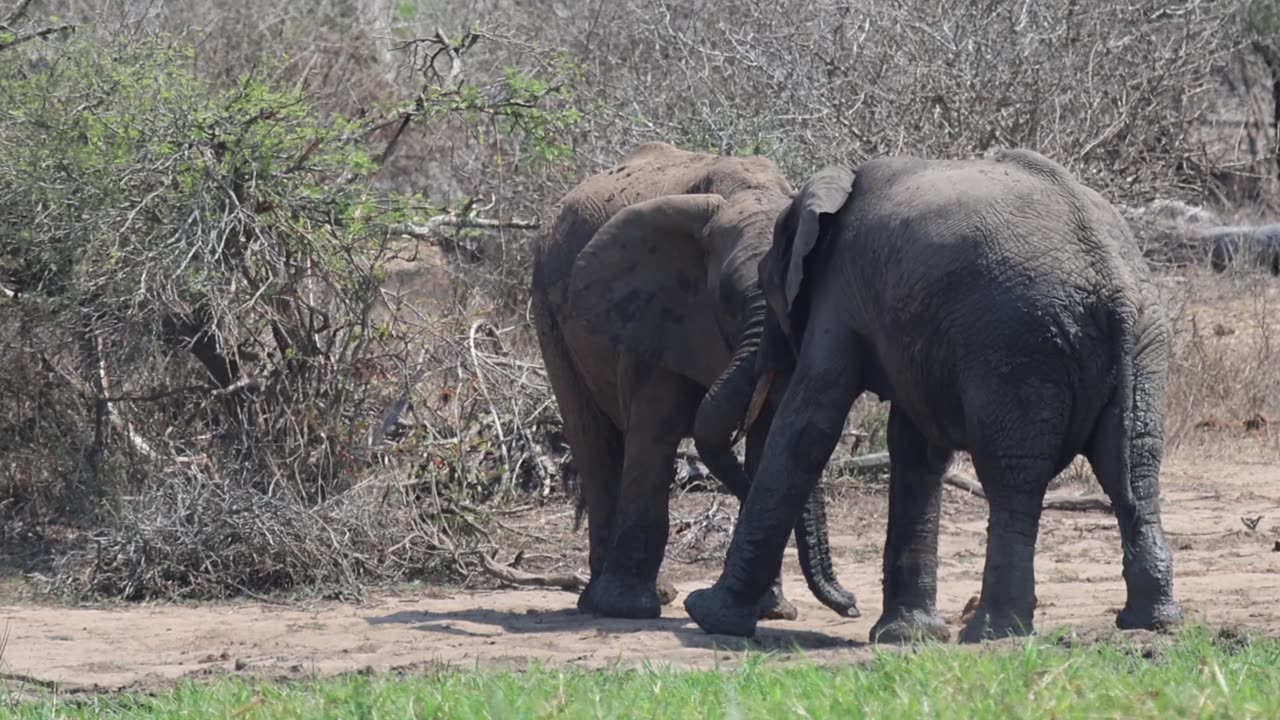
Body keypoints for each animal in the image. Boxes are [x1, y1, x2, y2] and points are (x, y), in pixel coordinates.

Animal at [529, 142, 860, 620]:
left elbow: (769, 443)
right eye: (727, 299)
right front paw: (631, 610)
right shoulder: (662, 312)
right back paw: (605, 602)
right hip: (547, 307)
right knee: (595, 443)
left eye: (797, 296)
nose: (851, 605)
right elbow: (656, 433)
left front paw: (771, 611)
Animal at [686, 148, 1182, 640]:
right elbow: (914, 448)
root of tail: (1113, 283)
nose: (850, 606)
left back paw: (994, 632)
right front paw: (908, 636)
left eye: (769, 288)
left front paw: (709, 616)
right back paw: (1151, 622)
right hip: (1145, 342)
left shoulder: (840, 290)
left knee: (1012, 480)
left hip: (1017, 347)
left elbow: (808, 427)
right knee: (1133, 471)